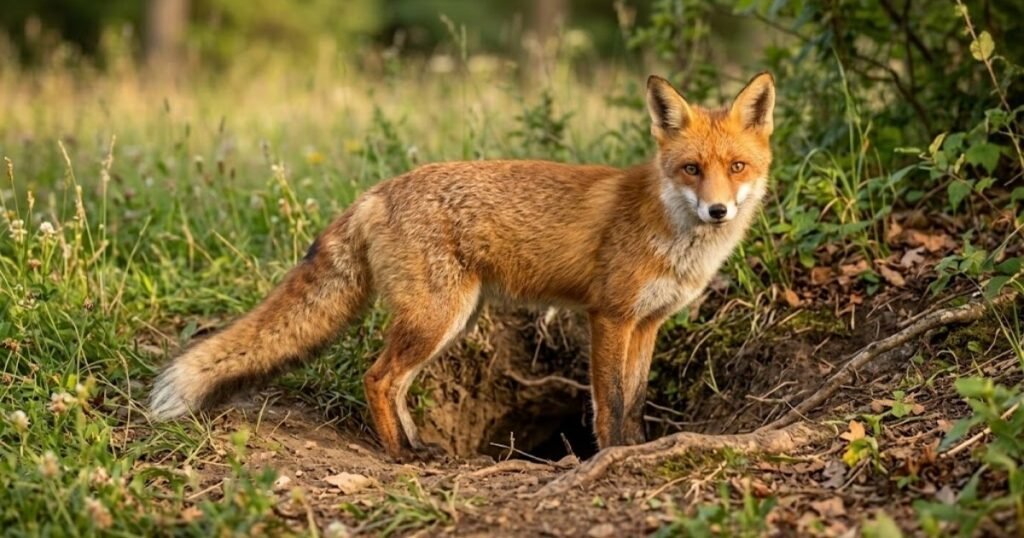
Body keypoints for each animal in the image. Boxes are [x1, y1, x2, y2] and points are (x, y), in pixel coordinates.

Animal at [150, 72, 776, 460]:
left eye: (737, 167)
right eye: (691, 169)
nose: (718, 210)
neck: (671, 232)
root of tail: (375, 192)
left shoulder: (646, 324)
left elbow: (637, 402)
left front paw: (640, 448)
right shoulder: (609, 318)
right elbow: (610, 405)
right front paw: (611, 457)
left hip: (453, 320)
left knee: (395, 383)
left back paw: (416, 446)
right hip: (437, 318)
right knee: (377, 378)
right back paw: (399, 456)